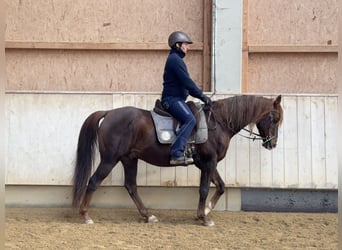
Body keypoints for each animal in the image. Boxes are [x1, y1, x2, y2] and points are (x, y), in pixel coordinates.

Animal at [71, 94, 282, 227]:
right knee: (93, 181)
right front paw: (203, 217)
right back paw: (85, 215)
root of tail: (108, 113)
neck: (218, 122)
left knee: (131, 186)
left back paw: (148, 215)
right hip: (109, 159)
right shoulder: (208, 162)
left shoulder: (207, 164)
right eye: (275, 118)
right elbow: (204, 189)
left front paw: (207, 210)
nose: (272, 144)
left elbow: (221, 186)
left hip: (129, 159)